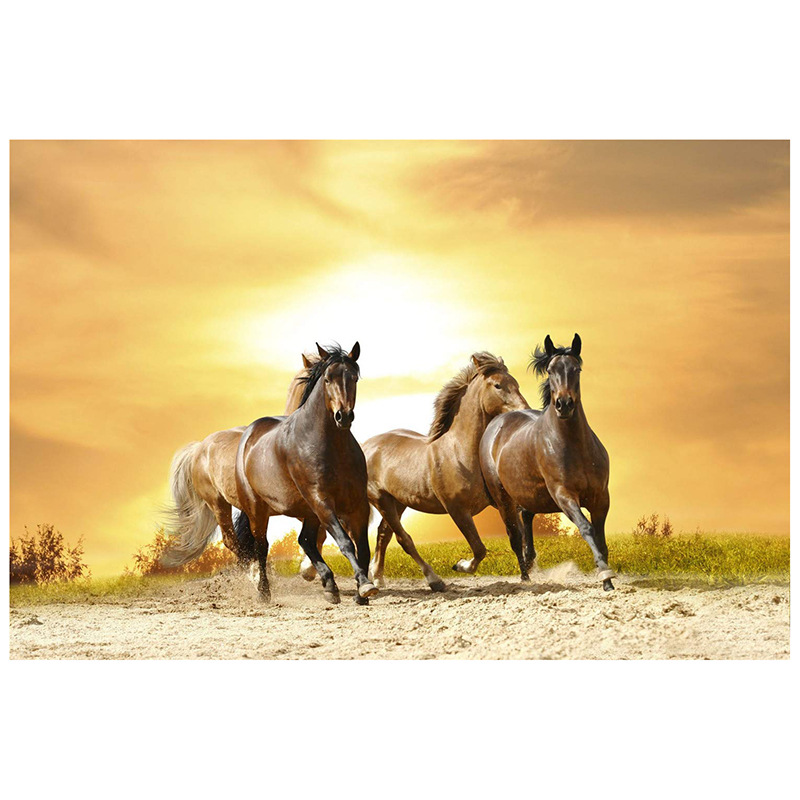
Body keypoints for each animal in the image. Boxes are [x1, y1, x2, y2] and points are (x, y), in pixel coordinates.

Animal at [235, 343, 377, 605]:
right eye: (328, 379)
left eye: (354, 378)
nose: (343, 416)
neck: (332, 447)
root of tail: (249, 434)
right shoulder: (322, 500)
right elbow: (345, 543)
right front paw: (364, 585)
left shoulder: (357, 503)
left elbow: (362, 547)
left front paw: (361, 592)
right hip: (258, 510)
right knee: (262, 546)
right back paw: (264, 592)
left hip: (308, 510)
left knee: (305, 540)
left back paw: (330, 586)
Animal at [362, 352, 529, 591]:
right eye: (497, 385)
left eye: (516, 383)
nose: (524, 410)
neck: (459, 451)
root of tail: (366, 446)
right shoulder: (457, 510)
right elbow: (479, 549)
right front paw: (460, 565)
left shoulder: (502, 502)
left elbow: (517, 537)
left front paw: (528, 575)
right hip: (382, 500)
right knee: (404, 539)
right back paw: (435, 581)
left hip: (398, 502)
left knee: (383, 534)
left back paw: (377, 577)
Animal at [479, 334, 616, 591]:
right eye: (551, 370)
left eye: (576, 369)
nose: (564, 404)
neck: (574, 446)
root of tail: (496, 423)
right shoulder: (563, 494)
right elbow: (586, 528)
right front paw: (605, 575)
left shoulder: (601, 497)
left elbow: (601, 538)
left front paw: (607, 577)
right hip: (503, 498)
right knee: (515, 536)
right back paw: (525, 577)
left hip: (530, 494)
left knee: (526, 518)